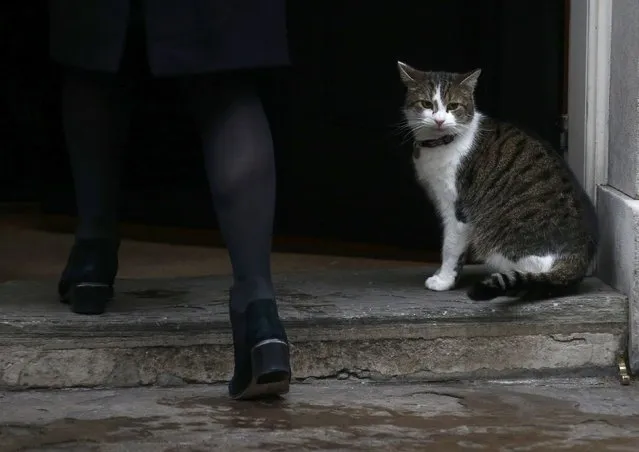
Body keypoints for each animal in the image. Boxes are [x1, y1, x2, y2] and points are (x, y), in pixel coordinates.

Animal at [400, 60, 600, 300]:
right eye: (426, 104)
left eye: (453, 106)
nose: (439, 120)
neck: (441, 143)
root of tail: (577, 259)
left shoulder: (457, 209)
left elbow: (450, 247)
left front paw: (444, 280)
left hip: (499, 245)